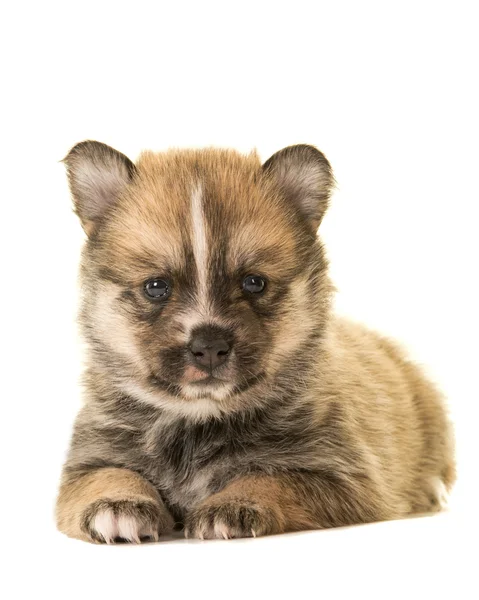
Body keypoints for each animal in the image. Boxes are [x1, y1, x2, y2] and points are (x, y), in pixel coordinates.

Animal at [54, 142, 456, 544]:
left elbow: (270, 478)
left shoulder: (339, 474)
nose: (209, 346)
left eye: (254, 283)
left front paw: (232, 505)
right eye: (156, 287)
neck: (199, 419)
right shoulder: (89, 460)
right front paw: (118, 503)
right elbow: (108, 474)